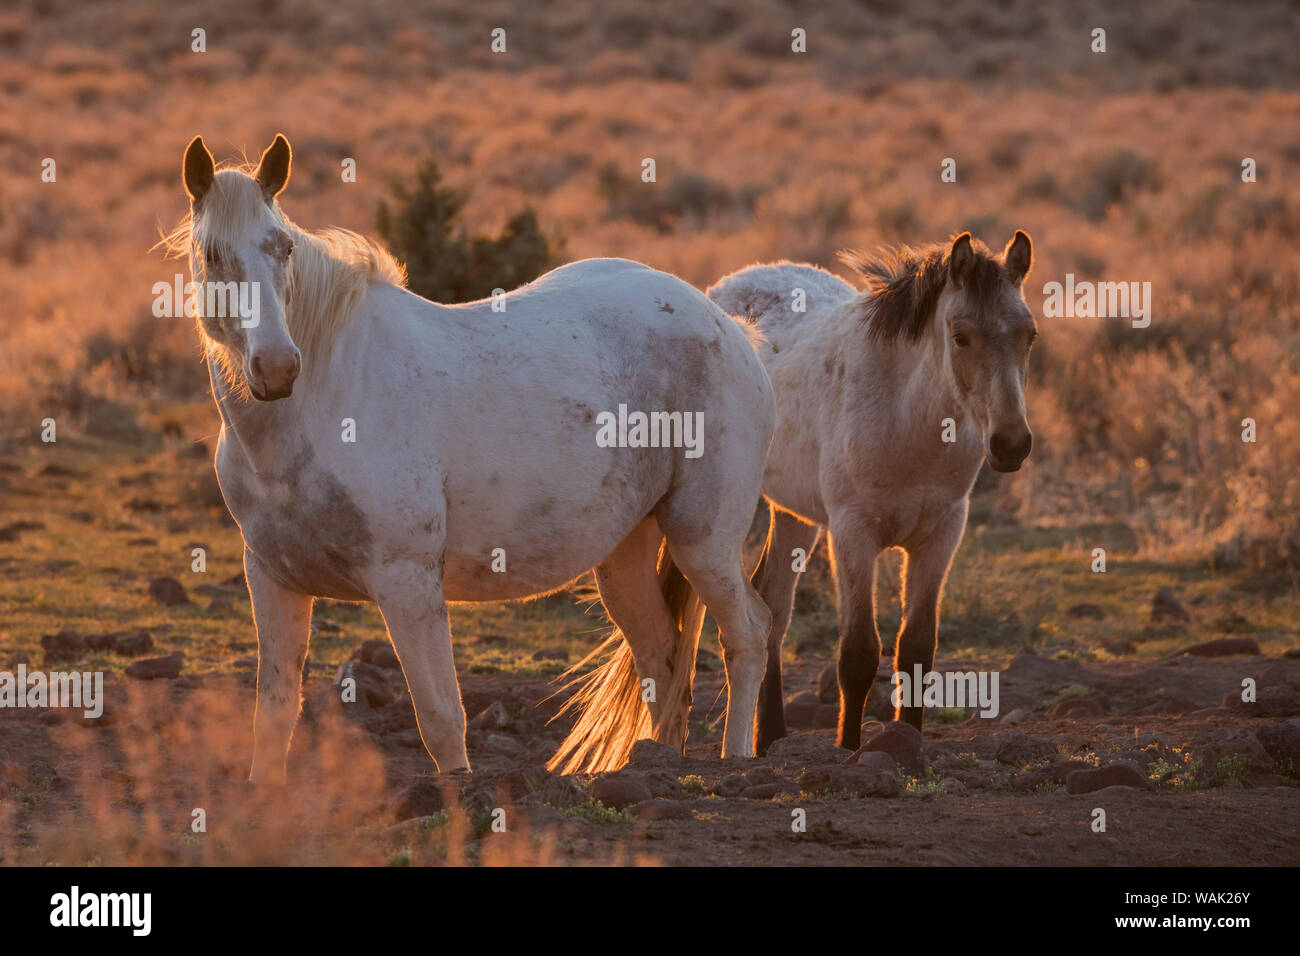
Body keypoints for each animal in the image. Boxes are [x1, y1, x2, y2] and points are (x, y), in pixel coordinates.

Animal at [162, 132, 769, 780]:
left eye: (283, 248)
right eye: (212, 255)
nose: (276, 368)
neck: (320, 404)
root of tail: (728, 326)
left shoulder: (407, 582)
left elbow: (441, 720)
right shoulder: (273, 580)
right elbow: (275, 717)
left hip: (703, 540)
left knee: (748, 636)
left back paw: (736, 761)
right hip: (625, 553)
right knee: (661, 655)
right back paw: (658, 765)